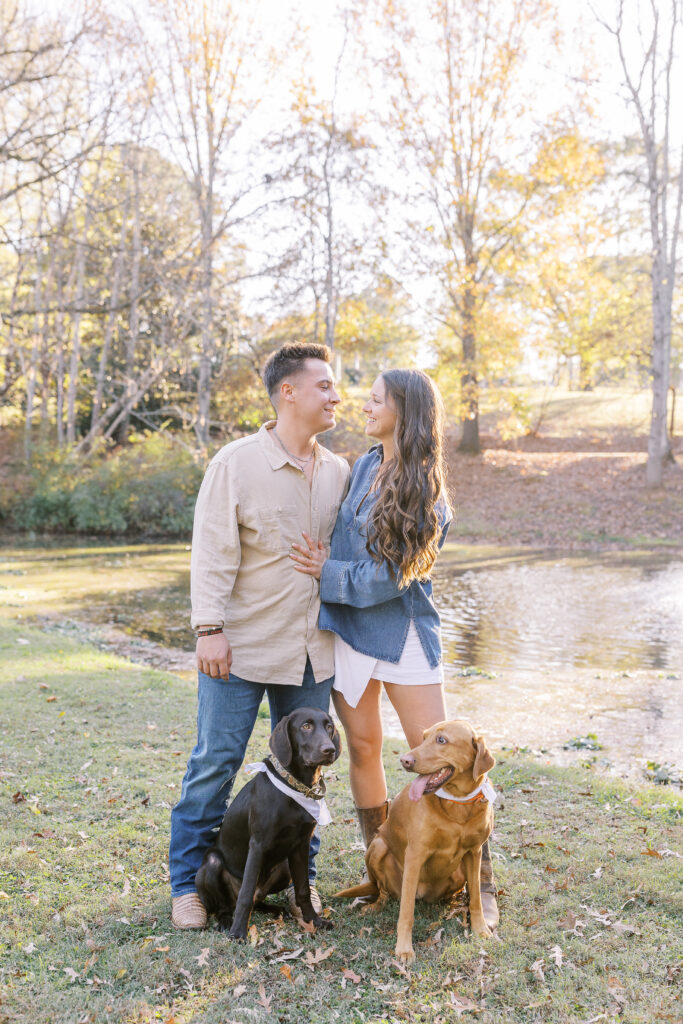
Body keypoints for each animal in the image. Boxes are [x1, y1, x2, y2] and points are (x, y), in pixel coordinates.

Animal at [333, 720, 493, 958]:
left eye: (441, 740)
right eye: (423, 737)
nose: (405, 760)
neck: (456, 804)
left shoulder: (475, 852)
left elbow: (476, 898)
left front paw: (480, 929)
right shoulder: (415, 855)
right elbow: (406, 912)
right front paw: (404, 949)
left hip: (459, 871)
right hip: (378, 847)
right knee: (383, 890)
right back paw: (376, 905)